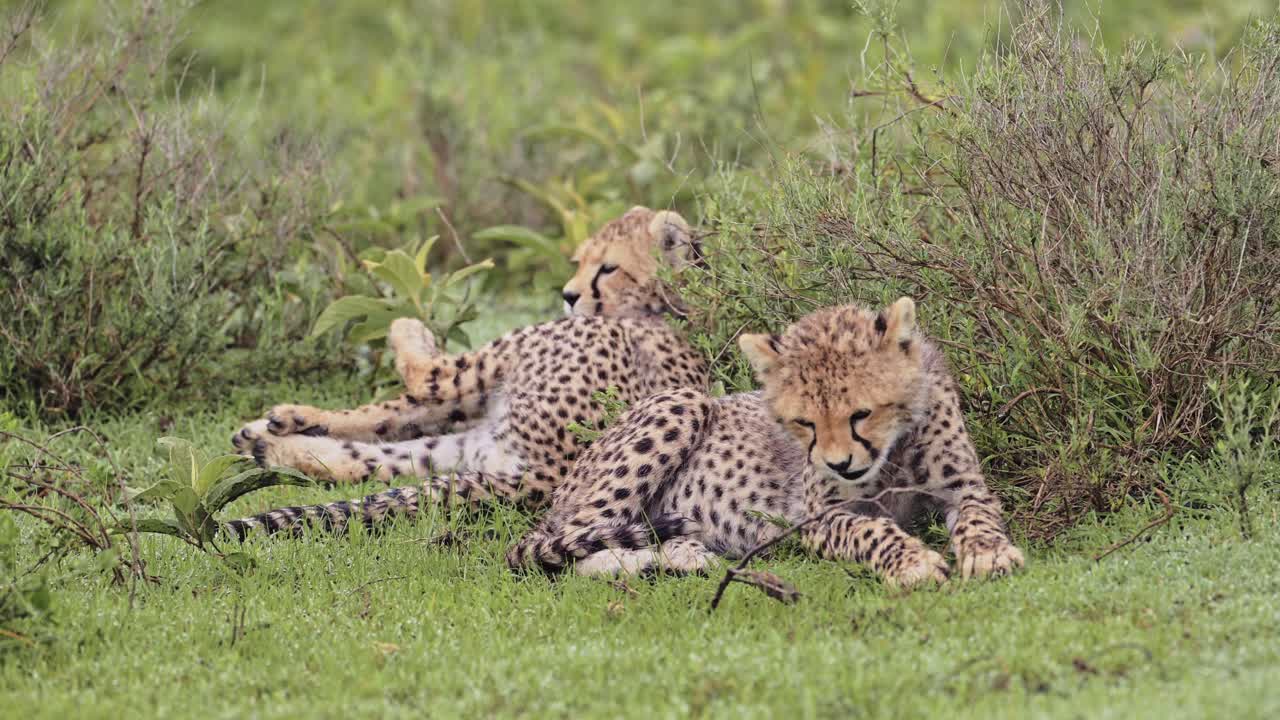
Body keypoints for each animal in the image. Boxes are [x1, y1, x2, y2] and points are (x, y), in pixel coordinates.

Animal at [224, 206, 709, 538]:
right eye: (580, 261)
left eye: (608, 267)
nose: (569, 296)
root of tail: (545, 477)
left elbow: (419, 379)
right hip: (477, 443)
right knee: (384, 450)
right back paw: (272, 441)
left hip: (497, 374)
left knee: (422, 384)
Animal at [505, 297, 1025, 588]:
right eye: (804, 423)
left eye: (861, 413)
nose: (840, 465)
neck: (890, 452)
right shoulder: (819, 515)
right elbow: (870, 531)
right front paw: (914, 562)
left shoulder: (964, 486)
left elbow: (978, 516)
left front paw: (989, 553)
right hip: (682, 401)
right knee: (569, 546)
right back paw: (642, 563)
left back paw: (683, 557)